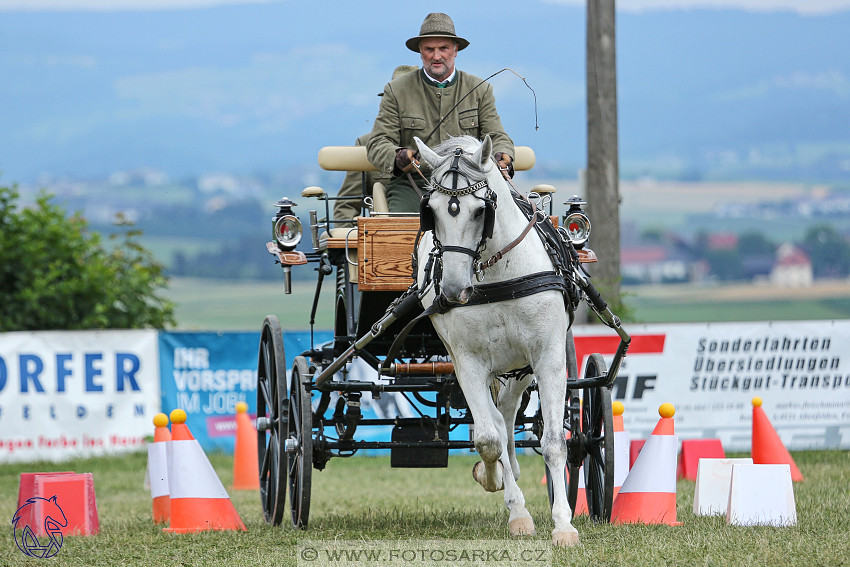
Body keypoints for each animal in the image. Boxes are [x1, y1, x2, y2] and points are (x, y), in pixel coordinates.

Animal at [416, 133, 580, 544]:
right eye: (431, 212)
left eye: (480, 211)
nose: (453, 290)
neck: (497, 277)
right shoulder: (468, 364)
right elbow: (487, 439)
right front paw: (502, 491)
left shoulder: (548, 357)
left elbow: (554, 441)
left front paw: (564, 524)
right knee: (496, 423)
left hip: (520, 368)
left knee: (506, 413)